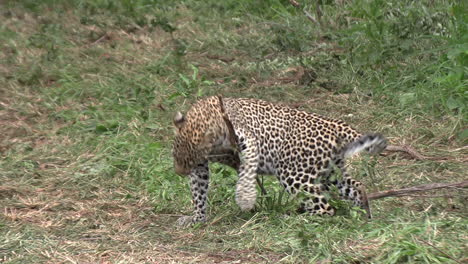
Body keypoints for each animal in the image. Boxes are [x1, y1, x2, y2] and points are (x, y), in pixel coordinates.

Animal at [174, 96, 386, 226]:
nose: (179, 172)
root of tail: (337, 125)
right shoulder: (201, 165)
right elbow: (199, 190)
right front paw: (197, 218)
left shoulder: (247, 139)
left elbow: (247, 169)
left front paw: (245, 198)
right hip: (328, 173)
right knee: (355, 186)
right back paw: (363, 213)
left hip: (293, 174)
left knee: (326, 209)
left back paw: (293, 217)